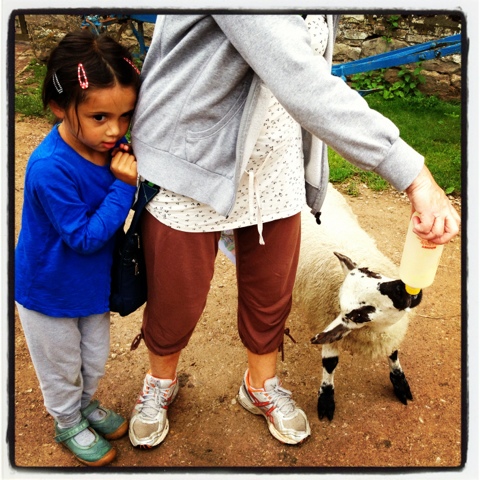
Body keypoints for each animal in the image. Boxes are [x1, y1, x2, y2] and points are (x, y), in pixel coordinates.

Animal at [294, 183, 422, 421]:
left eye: (372, 273)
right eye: (360, 313)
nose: (403, 288)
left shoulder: (389, 333)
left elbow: (393, 352)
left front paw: (400, 382)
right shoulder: (327, 320)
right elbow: (330, 363)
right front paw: (326, 398)